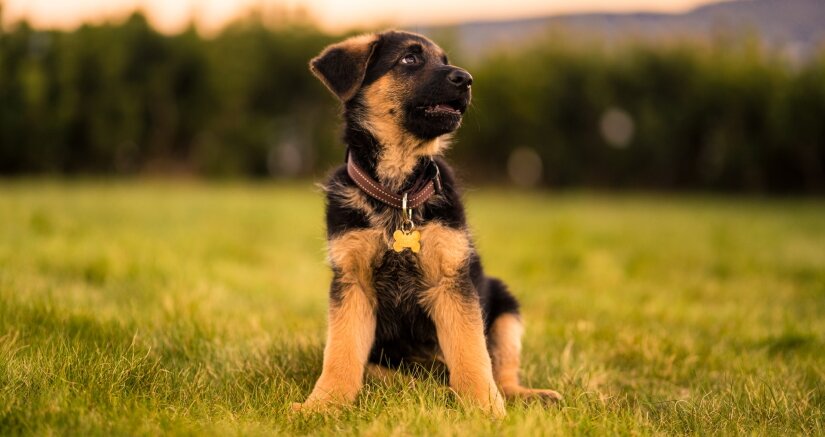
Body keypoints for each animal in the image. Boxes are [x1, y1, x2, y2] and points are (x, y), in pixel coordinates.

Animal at [292, 29, 564, 416]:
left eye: (445, 60)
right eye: (410, 59)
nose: (466, 79)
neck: (399, 191)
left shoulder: (451, 281)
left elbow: (471, 353)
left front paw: (486, 409)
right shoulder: (352, 283)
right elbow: (341, 353)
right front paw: (323, 404)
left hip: (506, 307)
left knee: (502, 372)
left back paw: (524, 394)